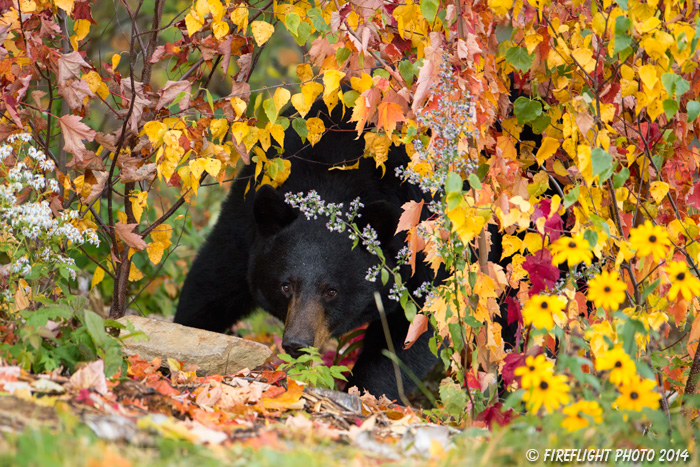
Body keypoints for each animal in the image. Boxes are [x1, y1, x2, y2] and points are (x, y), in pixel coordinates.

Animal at [175, 101, 438, 398]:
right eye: (285, 286)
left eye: (332, 291)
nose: (296, 343)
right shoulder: (248, 214)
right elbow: (214, 282)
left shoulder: (423, 235)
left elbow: (413, 330)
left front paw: (365, 391)